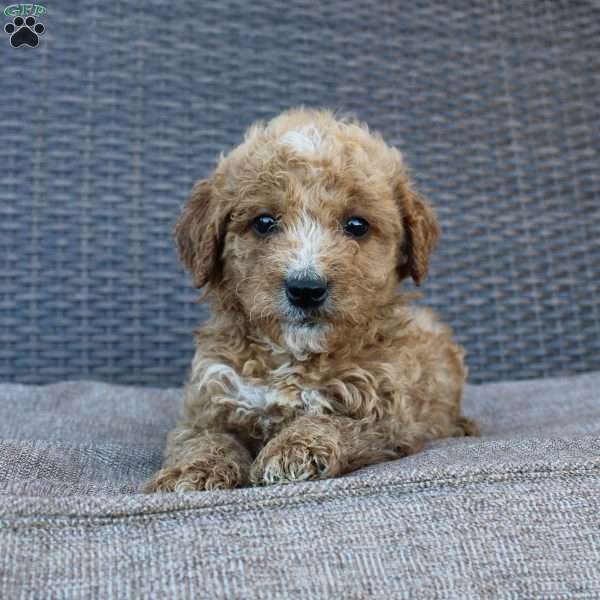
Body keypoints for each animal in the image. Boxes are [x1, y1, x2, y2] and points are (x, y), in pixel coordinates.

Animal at [145, 108, 478, 492]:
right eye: (264, 222)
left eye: (356, 225)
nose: (305, 289)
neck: (293, 356)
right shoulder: (211, 399)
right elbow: (200, 438)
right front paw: (191, 470)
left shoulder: (387, 414)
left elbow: (335, 422)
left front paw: (294, 448)